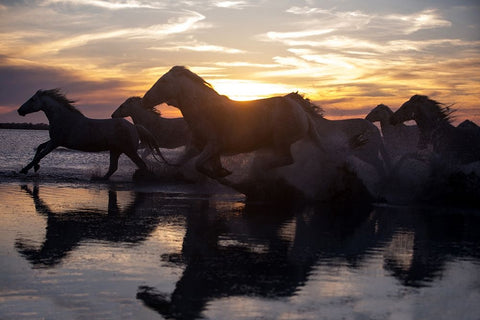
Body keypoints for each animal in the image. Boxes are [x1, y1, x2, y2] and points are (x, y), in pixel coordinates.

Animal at [17, 89, 163, 180]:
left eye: (32, 99)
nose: (19, 111)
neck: (62, 117)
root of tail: (134, 127)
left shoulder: (55, 142)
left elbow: (40, 154)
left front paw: (25, 169)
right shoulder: (54, 140)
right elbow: (40, 147)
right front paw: (35, 167)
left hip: (129, 150)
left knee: (141, 165)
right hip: (115, 150)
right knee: (113, 168)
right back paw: (99, 179)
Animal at [141, 66, 324, 179]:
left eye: (164, 81)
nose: (145, 100)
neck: (203, 111)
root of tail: (298, 107)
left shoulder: (213, 145)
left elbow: (199, 165)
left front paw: (223, 175)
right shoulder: (202, 148)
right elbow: (189, 163)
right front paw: (221, 172)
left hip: (281, 141)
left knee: (287, 159)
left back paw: (263, 167)